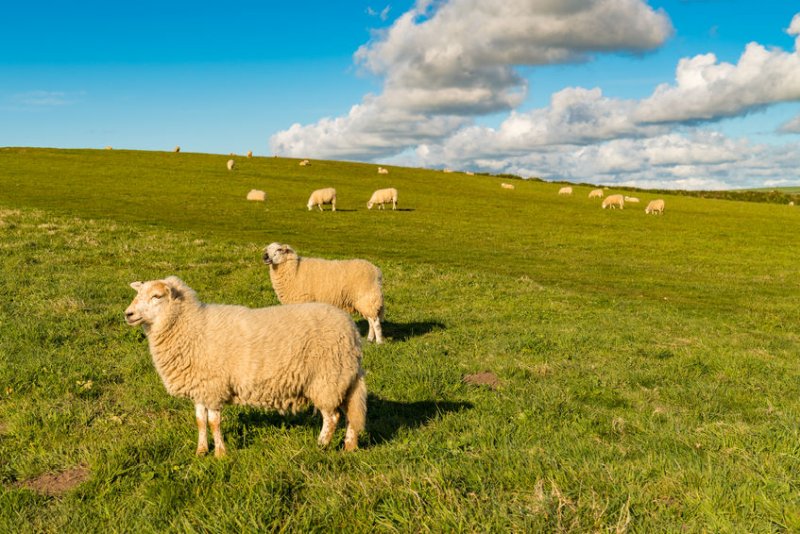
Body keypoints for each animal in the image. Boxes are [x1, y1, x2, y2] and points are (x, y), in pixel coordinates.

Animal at [123, 278, 368, 458]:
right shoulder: (200, 387)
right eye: (139, 293)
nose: (128, 314)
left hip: (327, 378)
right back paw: (349, 446)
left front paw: (220, 454)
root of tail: (352, 331)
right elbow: (200, 421)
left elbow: (213, 422)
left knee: (333, 417)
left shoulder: (214, 386)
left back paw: (321, 444)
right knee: (351, 414)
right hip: (342, 378)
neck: (191, 327)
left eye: (157, 296)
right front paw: (201, 451)